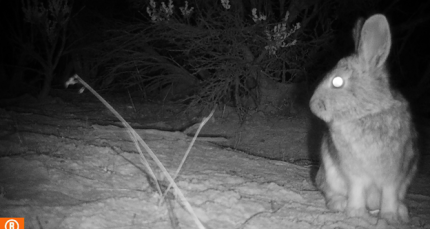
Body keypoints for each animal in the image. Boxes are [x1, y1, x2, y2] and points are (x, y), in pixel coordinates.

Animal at [310, 13, 418, 225]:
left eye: (337, 81)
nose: (313, 105)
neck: (366, 112)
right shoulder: (354, 175)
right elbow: (357, 191)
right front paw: (356, 213)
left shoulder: (394, 175)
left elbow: (390, 194)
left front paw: (390, 217)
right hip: (330, 174)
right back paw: (340, 204)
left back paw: (401, 211)